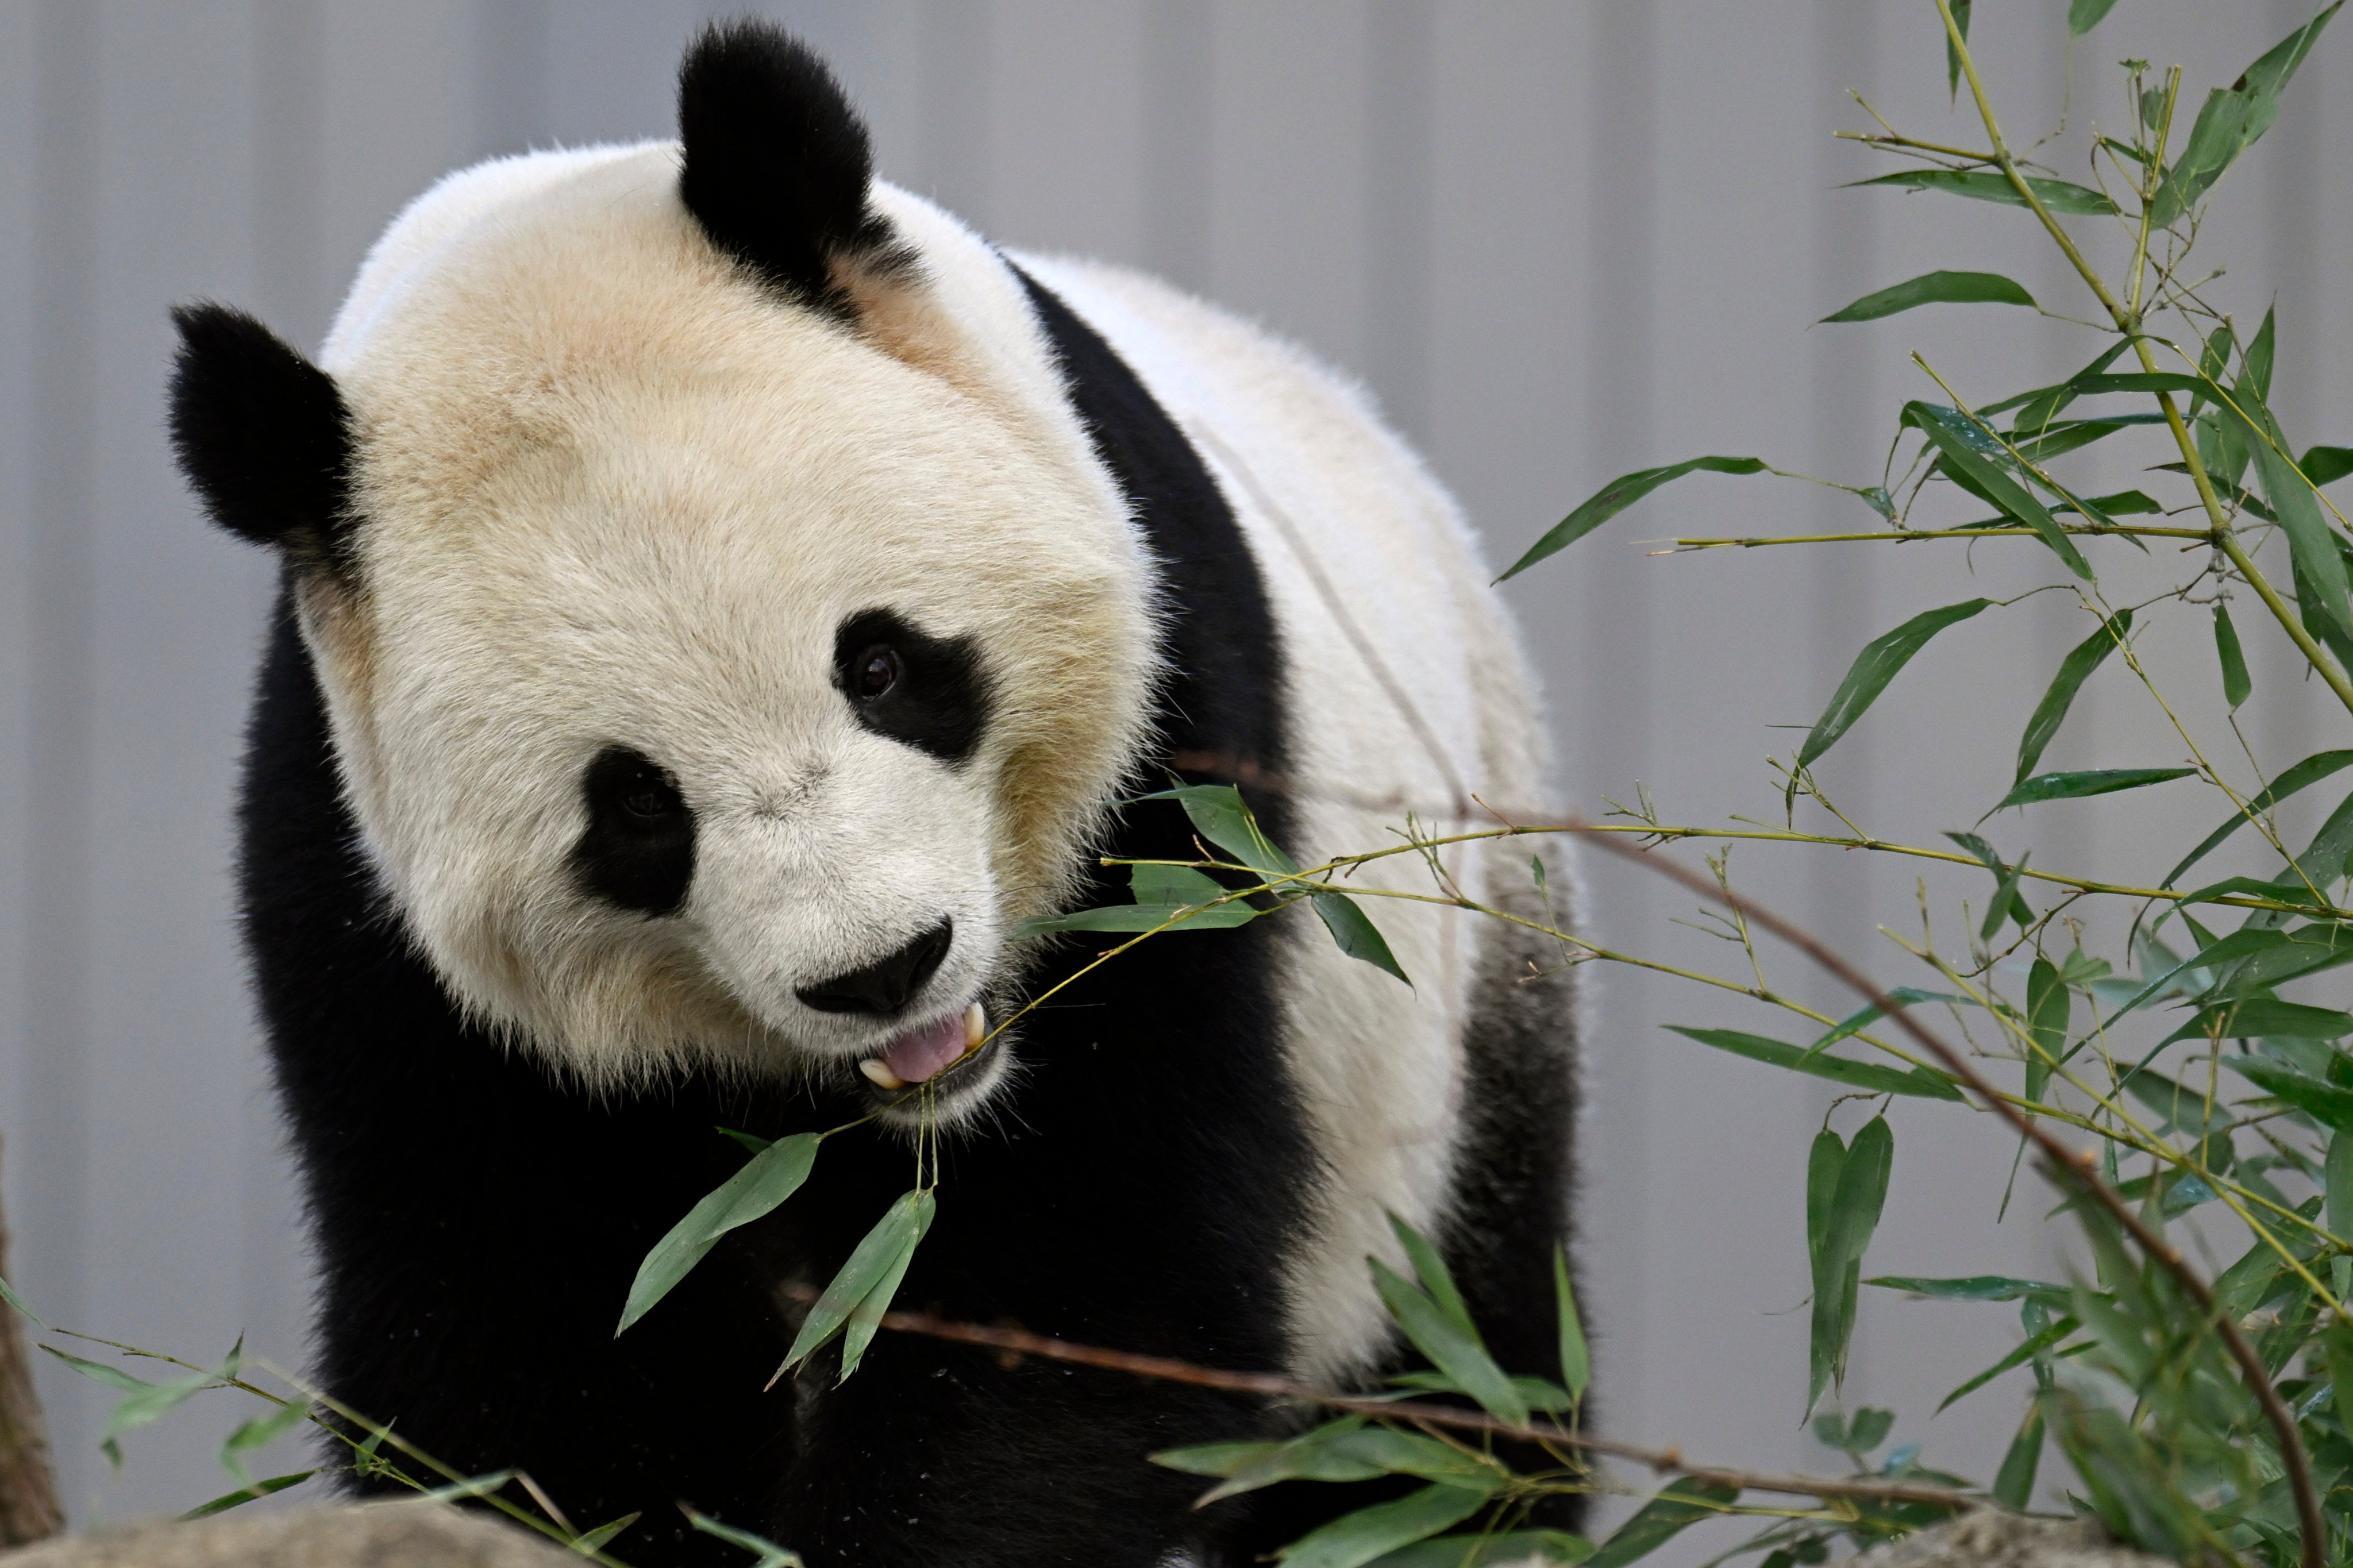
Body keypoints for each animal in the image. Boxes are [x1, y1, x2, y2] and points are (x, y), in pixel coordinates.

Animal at [165, 21, 1581, 1563]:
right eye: (634, 806)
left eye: (884, 663)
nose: (881, 968)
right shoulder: (371, 908)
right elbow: (514, 1337)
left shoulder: (1180, 780)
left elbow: (1083, 1274)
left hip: (1450, 1019)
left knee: (1444, 1402)